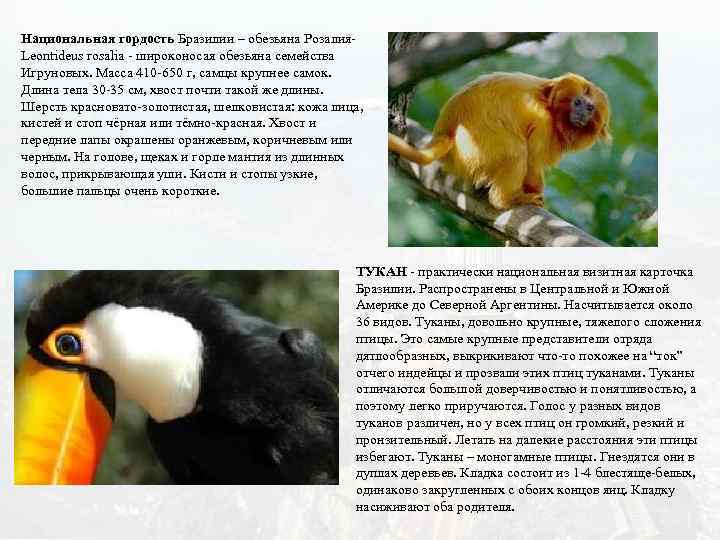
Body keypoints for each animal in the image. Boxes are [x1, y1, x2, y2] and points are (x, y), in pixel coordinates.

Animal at [389, 72, 611, 209]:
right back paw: (506, 200)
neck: (552, 108)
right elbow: (532, 160)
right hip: (474, 147)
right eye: (577, 102)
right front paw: (535, 189)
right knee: (516, 150)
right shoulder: (542, 122)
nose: (582, 113)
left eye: (590, 108)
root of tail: (446, 131)